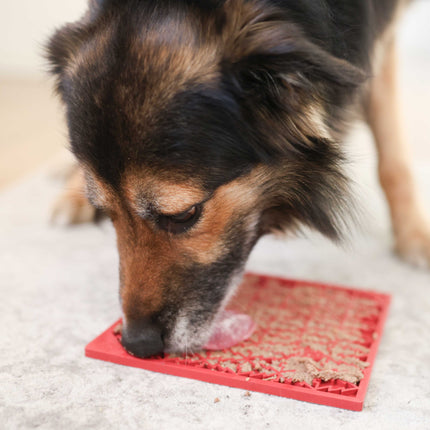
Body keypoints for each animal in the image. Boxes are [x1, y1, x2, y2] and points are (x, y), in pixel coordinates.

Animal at [45, 0, 428, 358]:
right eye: (110, 215)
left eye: (183, 215)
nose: (137, 344)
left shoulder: (380, 37)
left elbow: (393, 159)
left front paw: (414, 235)